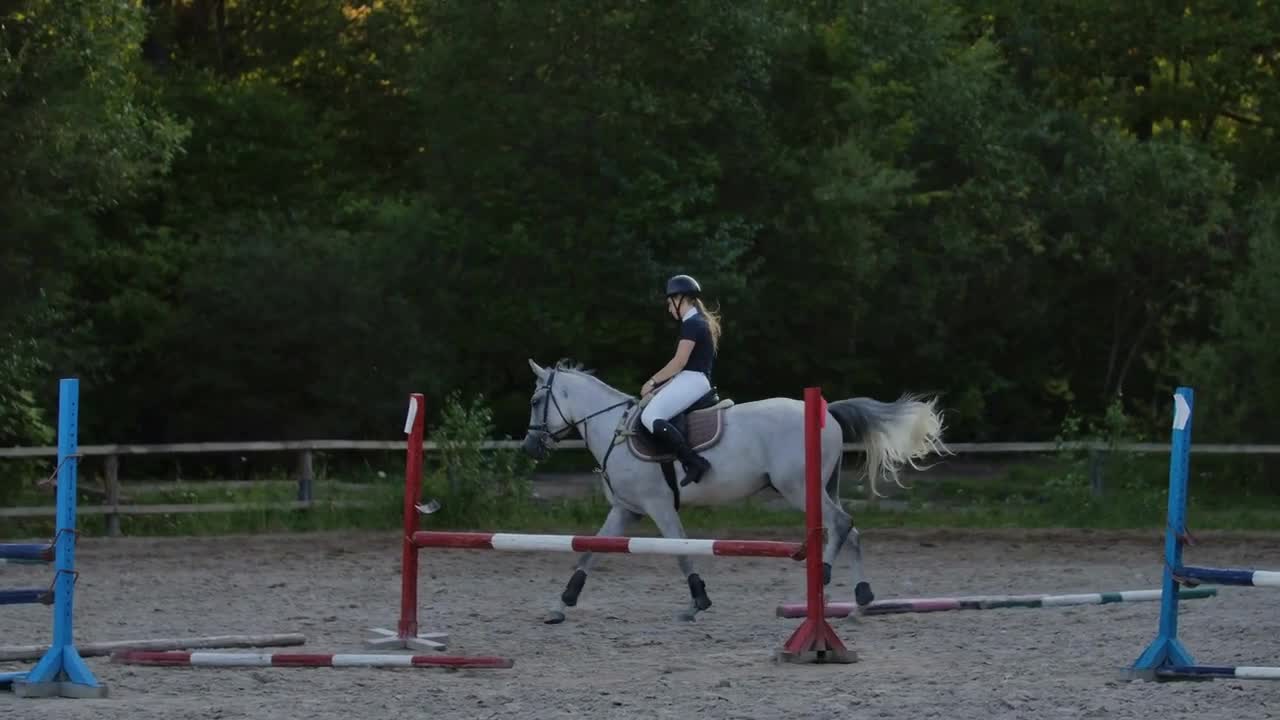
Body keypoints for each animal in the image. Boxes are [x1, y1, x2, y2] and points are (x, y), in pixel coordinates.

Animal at [519, 358, 952, 622]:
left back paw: (826, 575)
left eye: (537, 399)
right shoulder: (627, 509)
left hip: (797, 489)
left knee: (841, 524)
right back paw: (862, 596)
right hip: (818, 488)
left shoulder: (659, 506)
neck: (614, 430)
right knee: (850, 530)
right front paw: (562, 604)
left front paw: (697, 603)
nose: (529, 448)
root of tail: (825, 411)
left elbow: (680, 553)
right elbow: (589, 552)